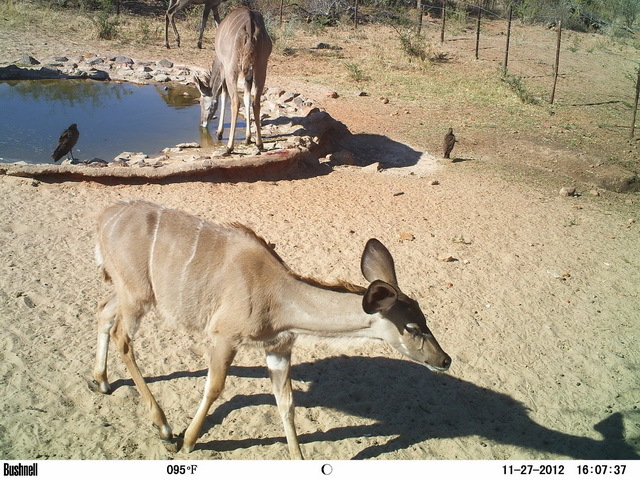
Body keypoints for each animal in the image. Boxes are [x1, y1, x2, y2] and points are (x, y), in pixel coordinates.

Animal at [92, 201, 452, 460]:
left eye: (426, 319)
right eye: (412, 326)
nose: (445, 360)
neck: (278, 296)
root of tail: (105, 217)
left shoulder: (278, 348)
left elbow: (286, 403)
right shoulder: (224, 336)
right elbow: (214, 387)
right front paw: (187, 442)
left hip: (127, 291)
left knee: (103, 311)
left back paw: (100, 381)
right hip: (137, 295)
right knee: (123, 338)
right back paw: (164, 427)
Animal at [191, 5, 268, 156]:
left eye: (202, 102)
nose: (202, 123)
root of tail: (250, 25)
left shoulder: (224, 69)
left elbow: (224, 95)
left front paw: (219, 132)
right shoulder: (249, 74)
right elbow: (247, 98)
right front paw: (248, 138)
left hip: (232, 69)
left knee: (235, 101)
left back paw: (229, 147)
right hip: (261, 67)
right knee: (255, 101)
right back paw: (260, 144)